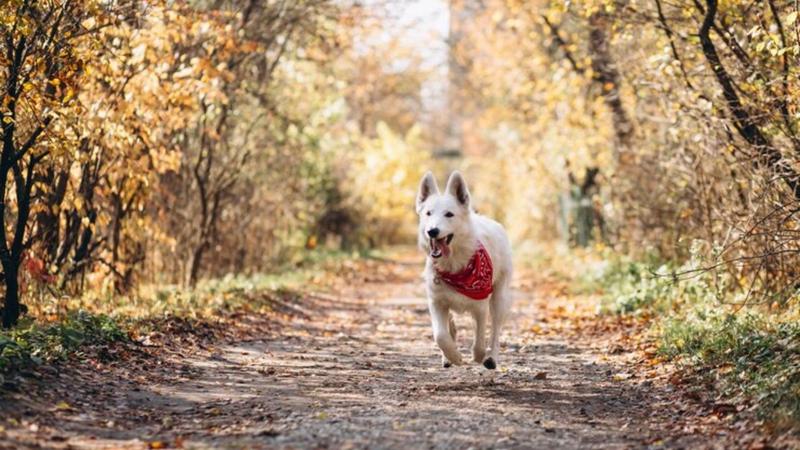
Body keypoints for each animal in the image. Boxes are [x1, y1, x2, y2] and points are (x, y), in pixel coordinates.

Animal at [418, 171, 512, 370]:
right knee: (450, 327)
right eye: (428, 213)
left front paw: (478, 356)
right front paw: (454, 356)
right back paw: (447, 358)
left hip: (498, 298)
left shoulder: (481, 305)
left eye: (449, 214)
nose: (432, 231)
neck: (454, 265)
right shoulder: (436, 303)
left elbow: (480, 340)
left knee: (495, 331)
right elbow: (440, 335)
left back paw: (491, 358)